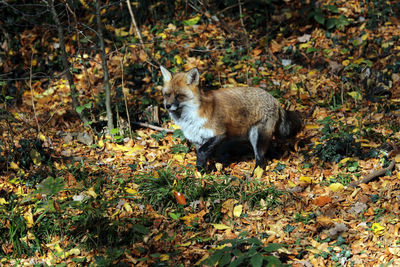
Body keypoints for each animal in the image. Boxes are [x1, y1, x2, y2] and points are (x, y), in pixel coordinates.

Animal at [161, 66, 302, 176]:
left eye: (179, 96)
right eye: (167, 94)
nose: (167, 106)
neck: (191, 118)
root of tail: (274, 99)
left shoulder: (219, 133)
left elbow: (202, 153)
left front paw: (200, 174)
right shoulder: (198, 140)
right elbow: (204, 156)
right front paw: (203, 172)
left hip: (256, 137)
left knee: (261, 160)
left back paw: (254, 176)